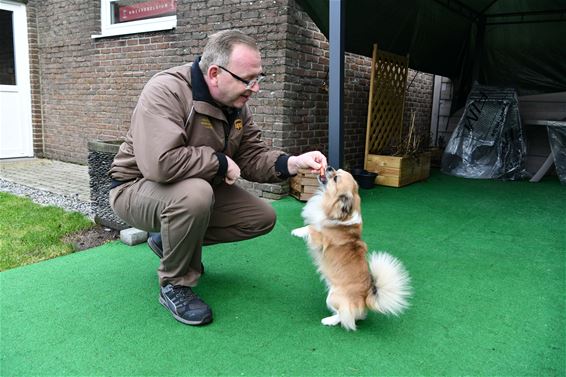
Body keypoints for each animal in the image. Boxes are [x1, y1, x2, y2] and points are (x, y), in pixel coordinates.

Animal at [292, 167, 412, 328]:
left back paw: (328, 320)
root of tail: (365, 299)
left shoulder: (320, 238)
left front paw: (296, 232)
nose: (329, 167)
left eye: (336, 178)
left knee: (345, 316)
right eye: (337, 170)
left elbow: (311, 227)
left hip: (332, 296)